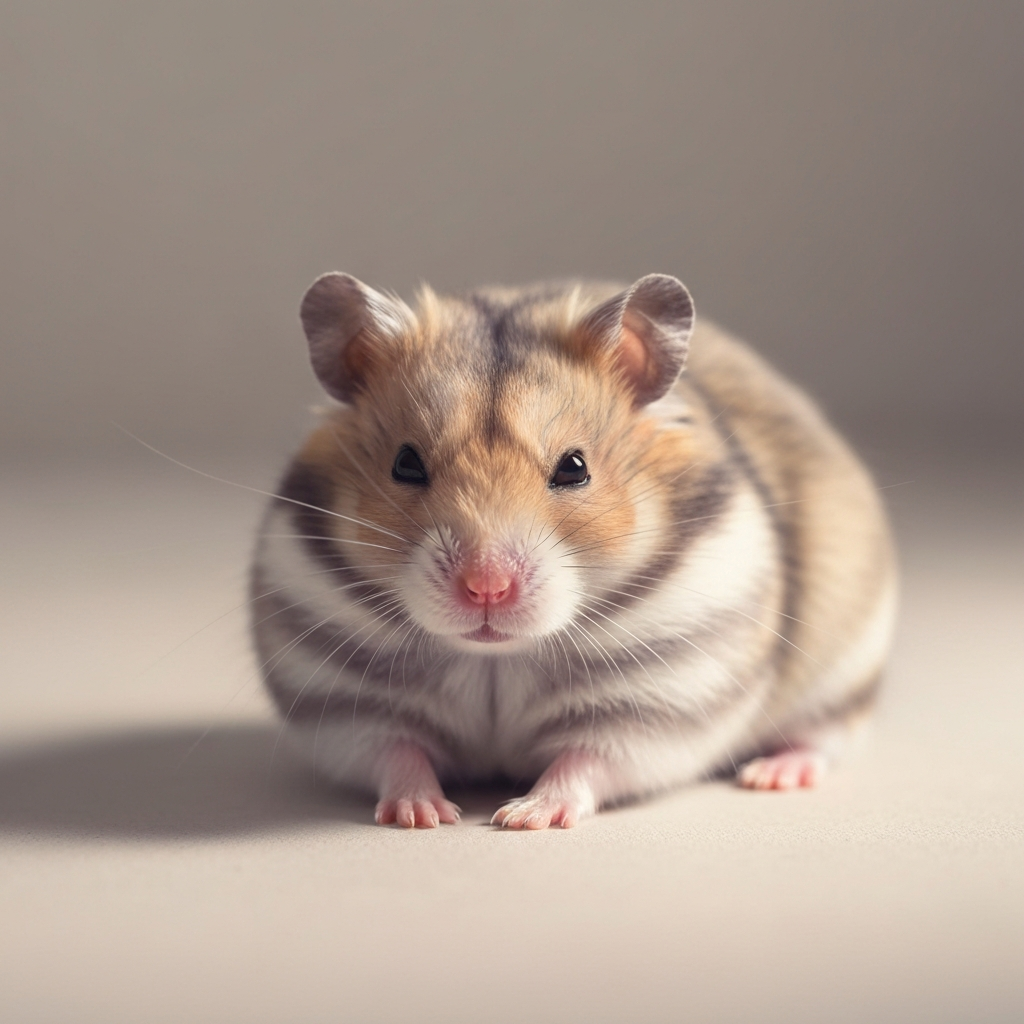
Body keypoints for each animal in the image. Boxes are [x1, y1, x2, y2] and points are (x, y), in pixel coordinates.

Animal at [250, 272, 896, 829]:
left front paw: (522, 817)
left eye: (574, 468)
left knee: (829, 734)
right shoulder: (349, 707)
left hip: (845, 666)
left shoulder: (653, 708)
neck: (495, 659)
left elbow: (587, 761)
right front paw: (424, 815)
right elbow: (396, 752)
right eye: (405, 464)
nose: (486, 588)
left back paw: (774, 775)